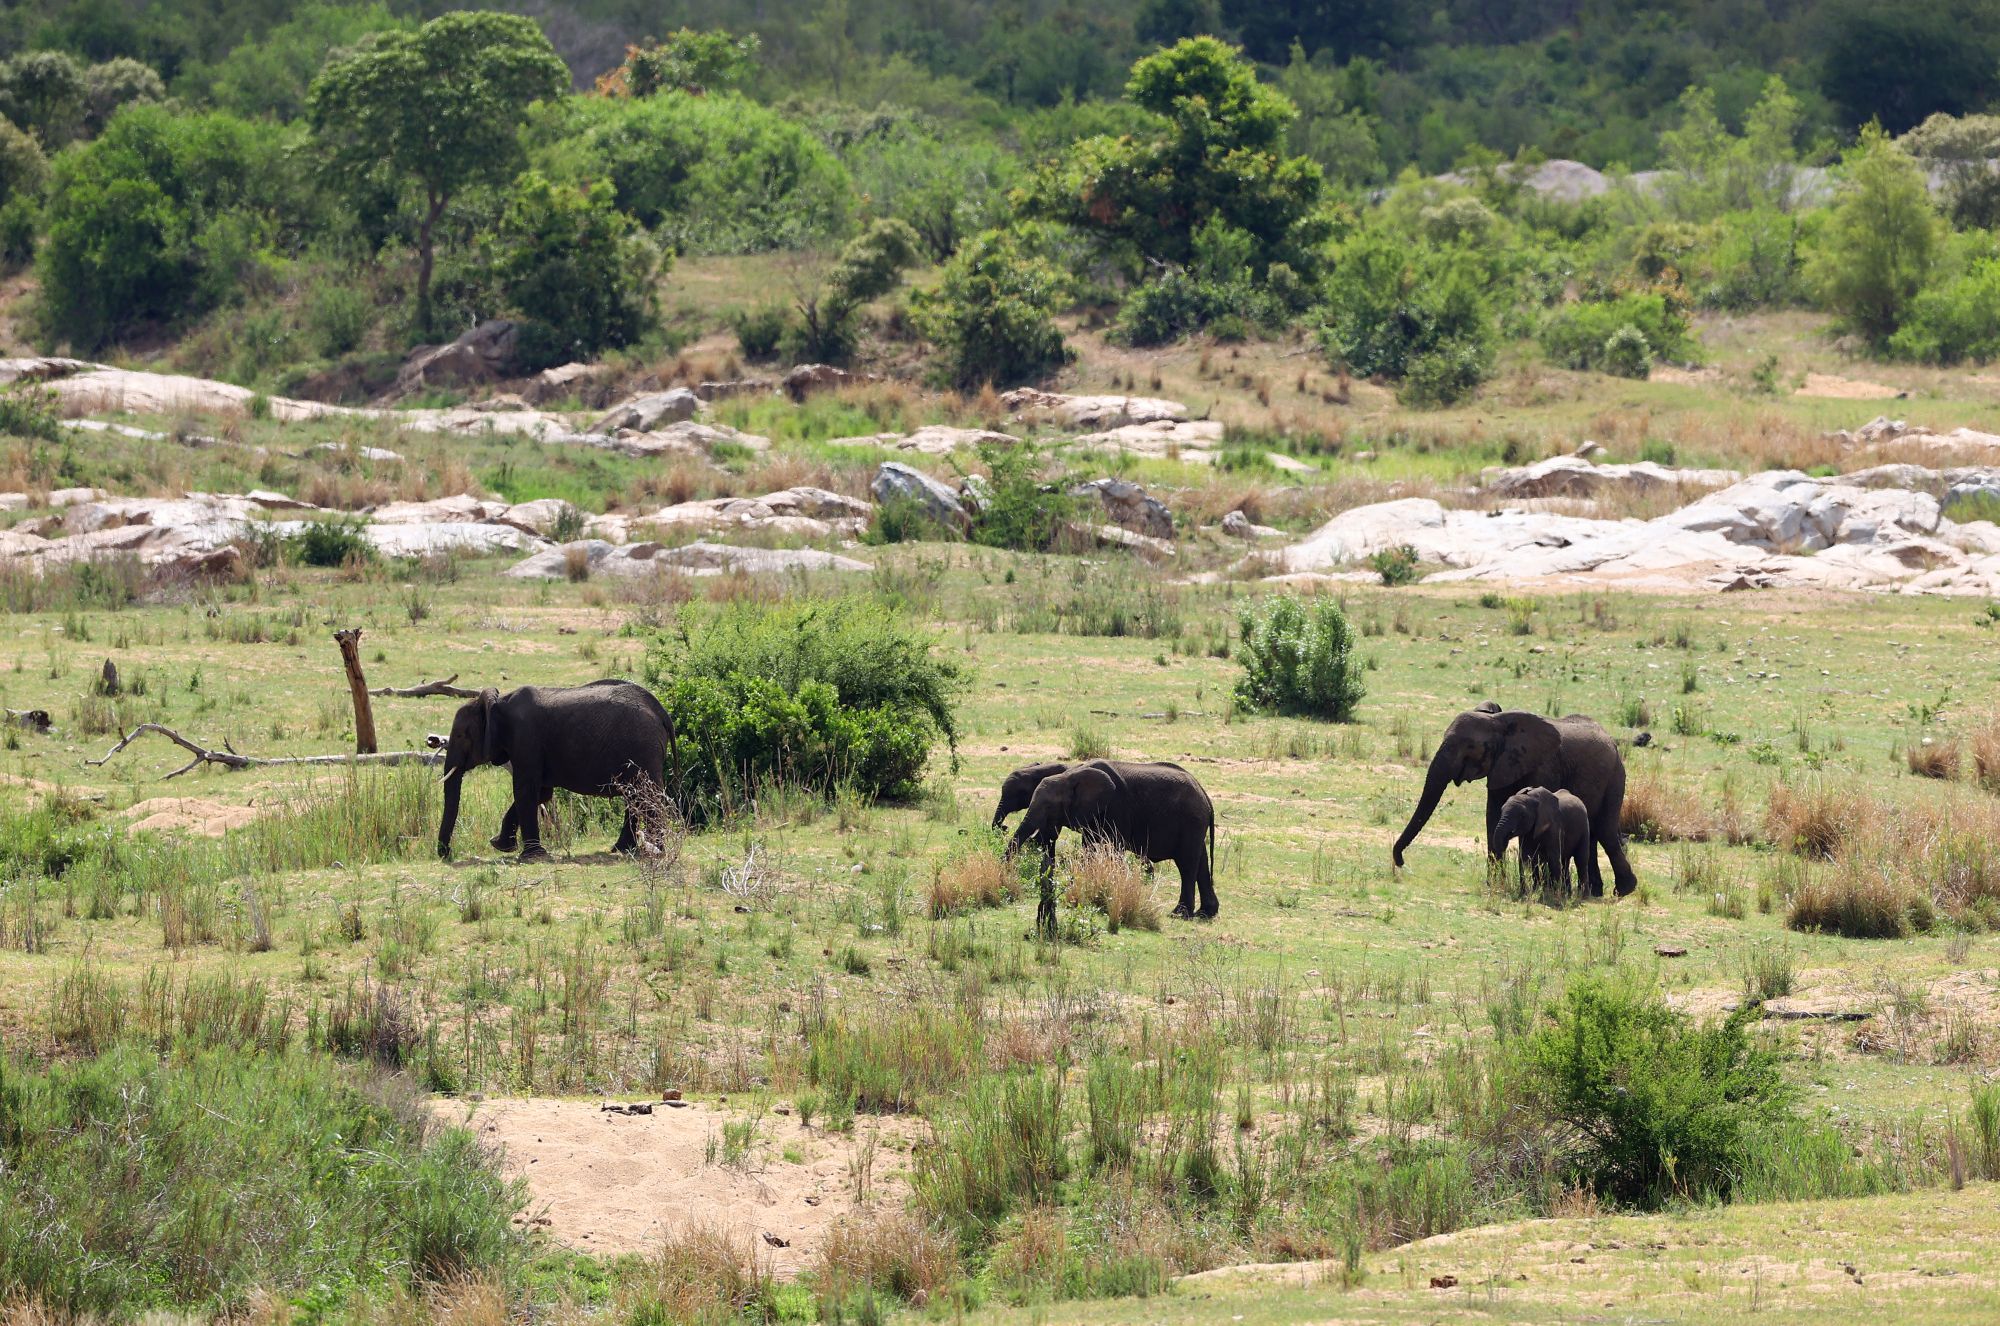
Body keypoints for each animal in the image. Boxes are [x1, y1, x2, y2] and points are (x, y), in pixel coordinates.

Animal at [434, 680, 684, 868]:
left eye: (460, 735)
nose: (446, 854)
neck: (498, 703)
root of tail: (662, 712)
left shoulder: (526, 739)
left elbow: (525, 790)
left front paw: (531, 856)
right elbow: (541, 794)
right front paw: (500, 845)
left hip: (643, 747)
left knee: (646, 797)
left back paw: (655, 851)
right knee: (634, 797)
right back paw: (621, 849)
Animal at [1008, 756, 1208, 924]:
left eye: (1049, 806)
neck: (1070, 775)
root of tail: (1204, 793)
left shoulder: (1117, 807)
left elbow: (1114, 848)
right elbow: (1089, 848)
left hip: (1191, 821)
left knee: (1187, 866)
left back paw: (1179, 914)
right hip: (1196, 825)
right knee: (1201, 864)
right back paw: (1205, 914)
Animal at [1392, 700, 1640, 896]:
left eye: (1470, 746)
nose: (1401, 862)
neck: (1499, 723)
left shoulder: (1544, 765)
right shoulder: (1500, 766)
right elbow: (1492, 816)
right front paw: (1494, 884)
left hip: (1615, 776)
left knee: (1605, 830)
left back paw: (1624, 890)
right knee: (1594, 834)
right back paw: (1596, 892)